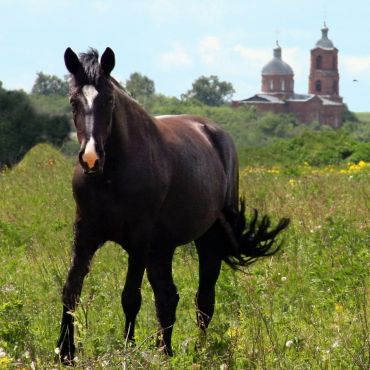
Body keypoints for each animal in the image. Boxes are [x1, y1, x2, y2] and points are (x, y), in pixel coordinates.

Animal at [57, 47, 290, 364]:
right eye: (73, 101)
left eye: (109, 100)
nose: (91, 158)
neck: (111, 175)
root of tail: (214, 132)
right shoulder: (85, 233)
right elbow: (71, 290)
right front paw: (65, 352)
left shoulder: (140, 241)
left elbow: (131, 297)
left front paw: (129, 351)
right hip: (162, 248)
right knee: (168, 296)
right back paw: (164, 349)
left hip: (207, 240)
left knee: (203, 299)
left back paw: (197, 350)